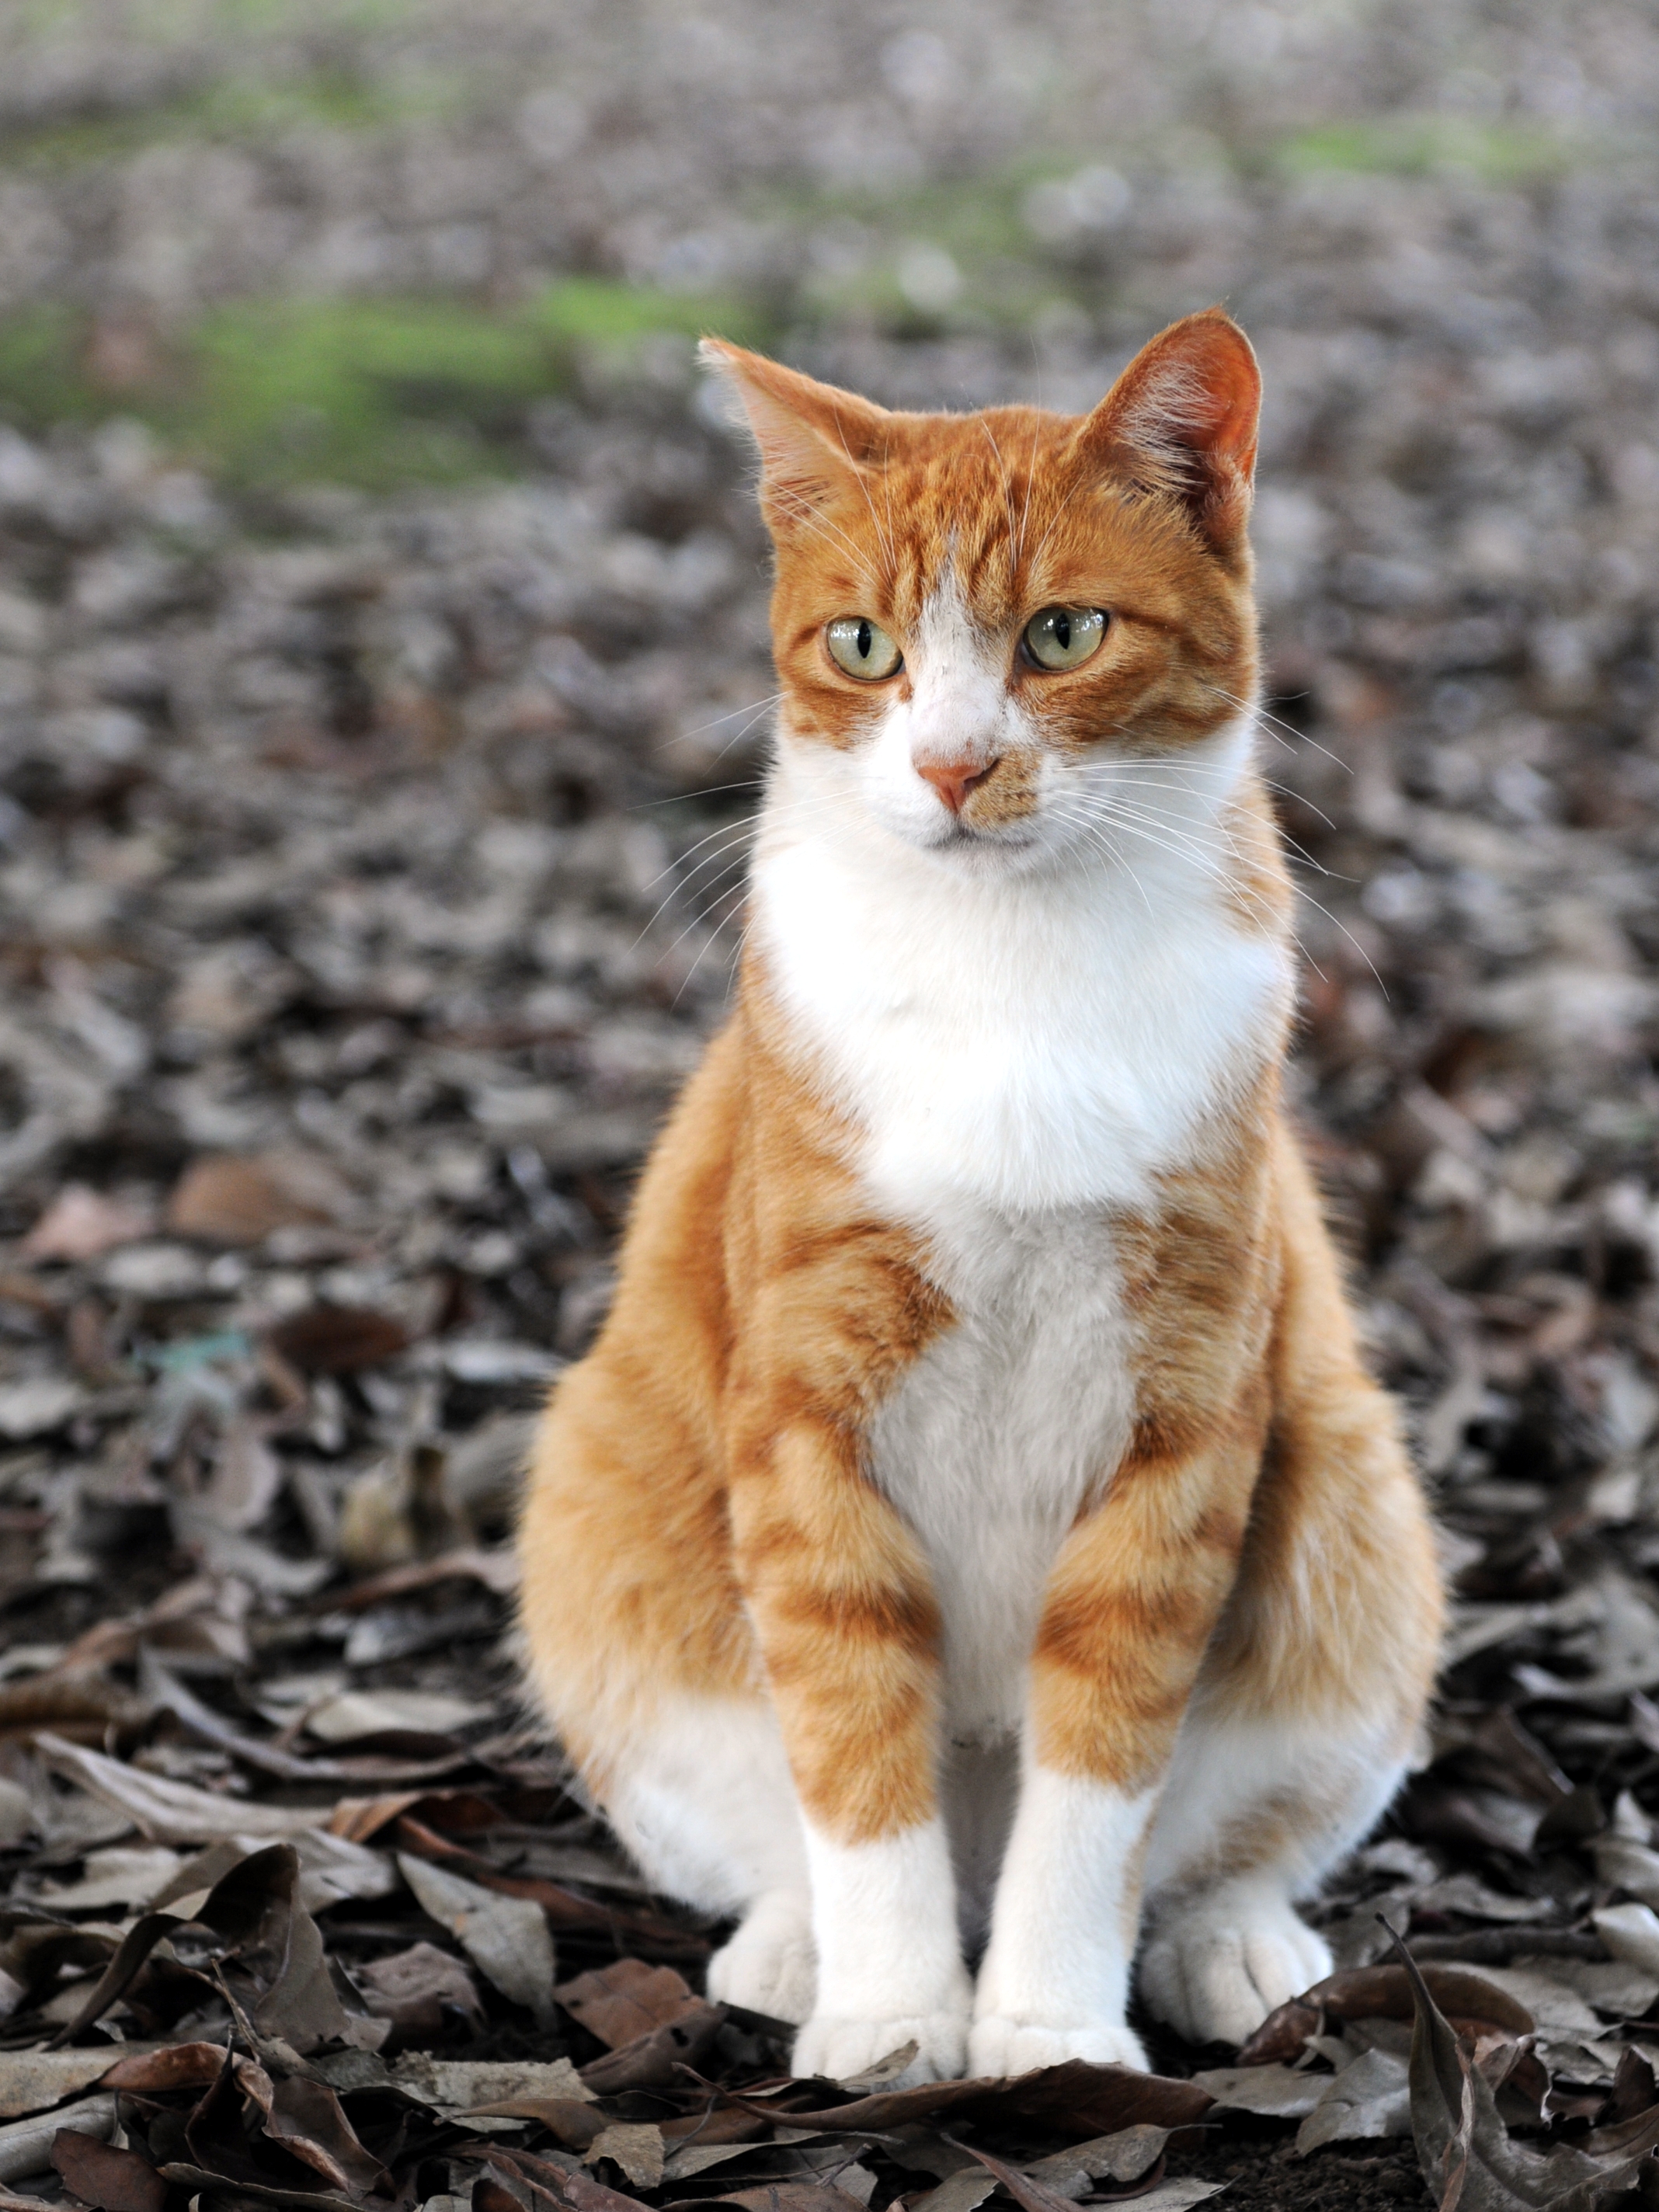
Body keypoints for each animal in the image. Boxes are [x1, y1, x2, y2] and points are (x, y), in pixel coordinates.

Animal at [520, 307, 1442, 2070]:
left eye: (1063, 635)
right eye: (864, 645)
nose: (952, 765)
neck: (1012, 972)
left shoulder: (1185, 1426)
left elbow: (1100, 1782)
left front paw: (1052, 2033)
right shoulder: (805, 1419)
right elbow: (851, 1740)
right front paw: (894, 2019)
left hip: (1353, 1519)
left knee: (1224, 1837)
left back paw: (1228, 1939)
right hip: (601, 1523)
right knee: (775, 1819)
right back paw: (799, 1950)